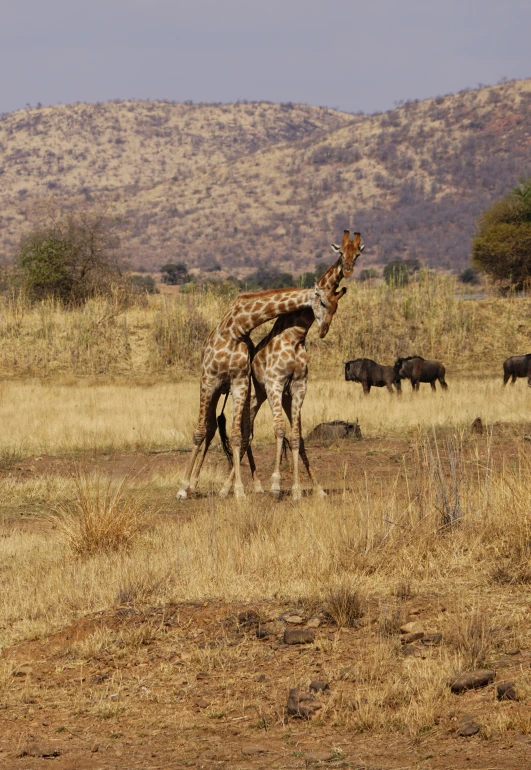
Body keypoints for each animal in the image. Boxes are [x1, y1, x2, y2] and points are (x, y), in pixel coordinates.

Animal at [177, 280, 344, 500]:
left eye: (336, 307)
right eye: (323, 302)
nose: (324, 329)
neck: (235, 329)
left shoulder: (240, 382)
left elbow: (237, 436)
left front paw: (239, 490)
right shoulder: (208, 380)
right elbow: (198, 432)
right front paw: (182, 488)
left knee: (240, 432)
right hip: (218, 390)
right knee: (210, 429)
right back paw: (192, 485)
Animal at [220, 228, 366, 498]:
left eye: (358, 253)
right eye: (341, 252)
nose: (349, 268)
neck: (297, 335)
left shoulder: (298, 385)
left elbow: (297, 436)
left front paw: (303, 489)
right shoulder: (275, 383)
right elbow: (278, 430)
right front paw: (276, 484)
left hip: (284, 398)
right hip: (255, 395)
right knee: (246, 434)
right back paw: (231, 488)